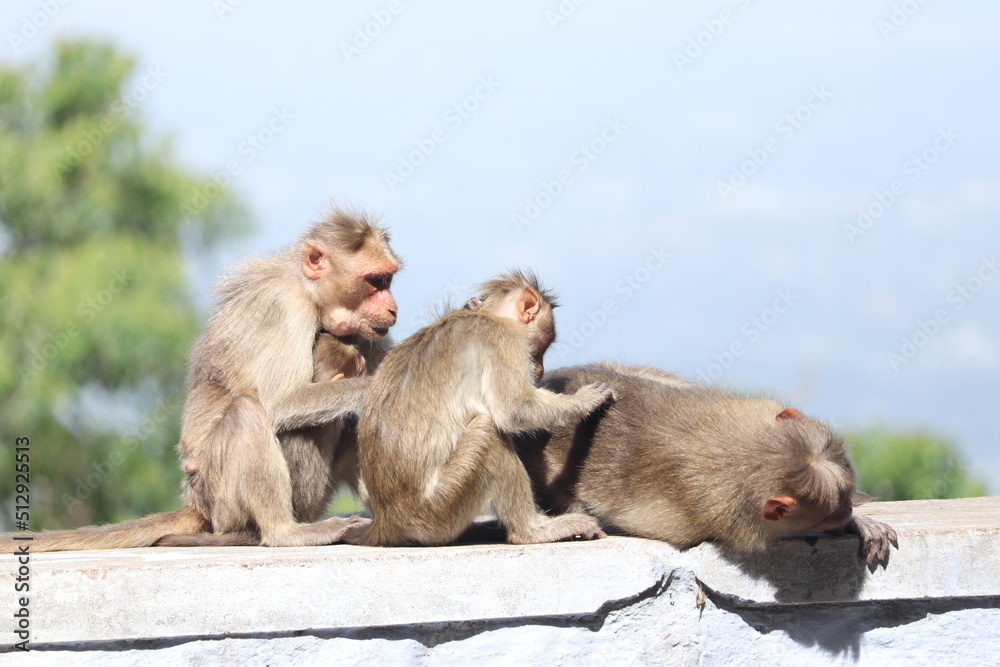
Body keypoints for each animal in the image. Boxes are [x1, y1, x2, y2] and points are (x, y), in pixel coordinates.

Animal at [0, 208, 399, 552]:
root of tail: (197, 504)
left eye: (388, 279)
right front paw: (371, 386)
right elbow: (280, 403)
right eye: (374, 281)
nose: (392, 307)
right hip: (222, 499)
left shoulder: (365, 332)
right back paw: (285, 533)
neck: (309, 291)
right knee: (248, 412)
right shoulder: (285, 307)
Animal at [356, 271, 615, 547]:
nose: (541, 370)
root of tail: (388, 521)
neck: (487, 315)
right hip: (440, 507)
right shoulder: (503, 337)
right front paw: (584, 401)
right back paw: (532, 531)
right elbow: (514, 409)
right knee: (489, 431)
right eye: (542, 347)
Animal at [514, 364, 898, 568]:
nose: (848, 509)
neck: (741, 451)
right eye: (836, 508)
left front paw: (860, 522)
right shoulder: (727, 517)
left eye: (846, 498)